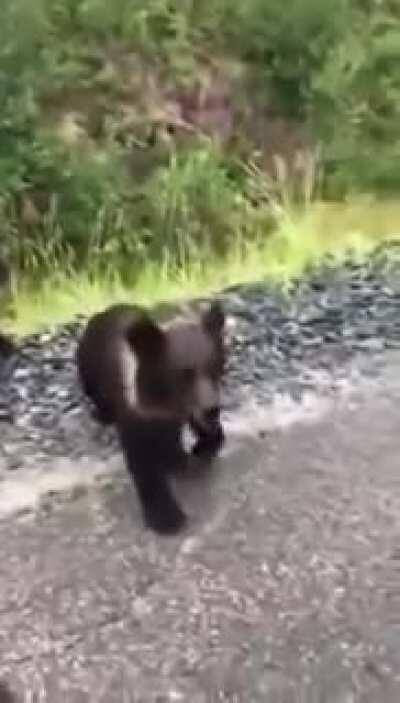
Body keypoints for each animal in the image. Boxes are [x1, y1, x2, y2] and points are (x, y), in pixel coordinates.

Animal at [76, 301, 226, 534]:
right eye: (183, 374)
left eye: (215, 366)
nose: (213, 409)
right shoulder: (135, 412)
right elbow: (143, 461)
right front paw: (167, 517)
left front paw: (197, 450)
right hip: (88, 365)